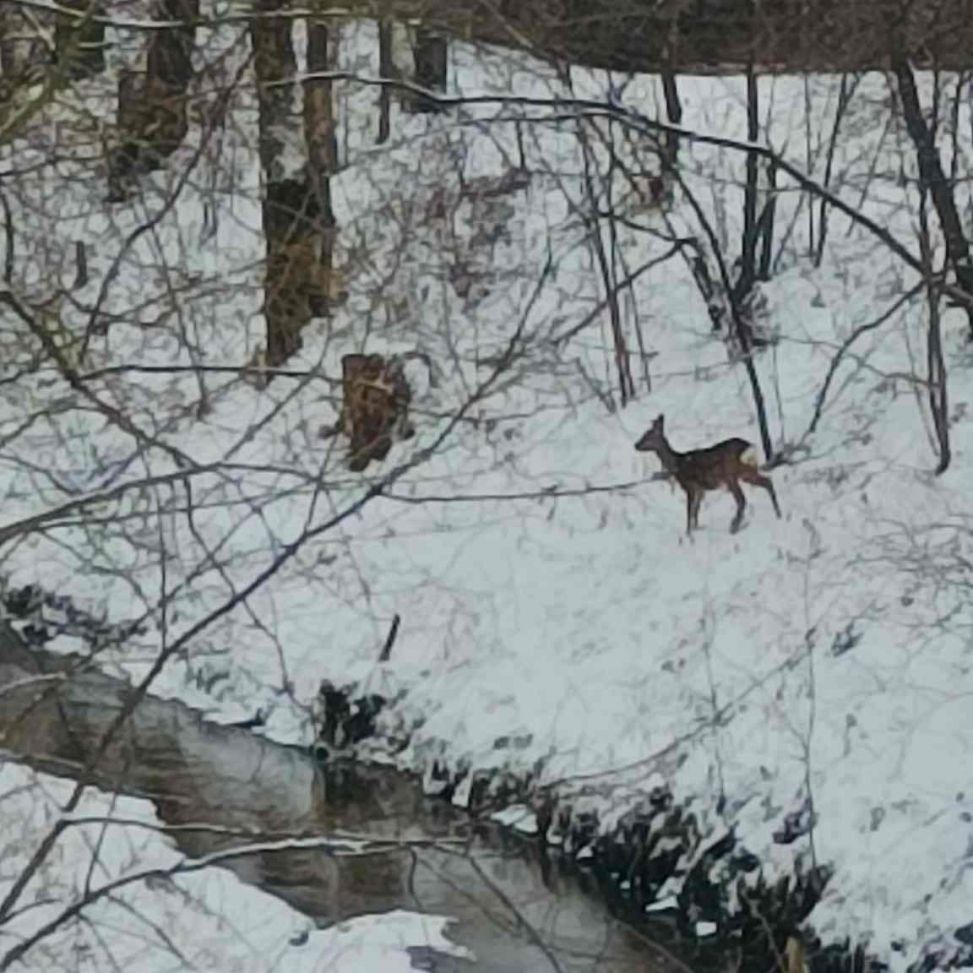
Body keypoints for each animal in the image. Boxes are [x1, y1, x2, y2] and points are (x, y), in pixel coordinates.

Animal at [632, 414, 784, 536]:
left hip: (730, 475)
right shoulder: (700, 490)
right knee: (767, 481)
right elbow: (696, 511)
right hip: (747, 472)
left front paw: (688, 534)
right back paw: (778, 514)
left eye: (648, 436)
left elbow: (689, 511)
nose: (636, 445)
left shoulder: (690, 487)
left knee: (742, 499)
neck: (677, 464)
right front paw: (696, 529)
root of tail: (748, 447)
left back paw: (734, 526)